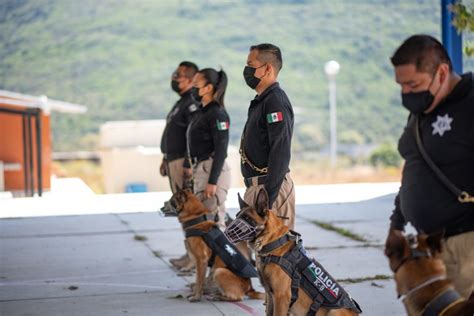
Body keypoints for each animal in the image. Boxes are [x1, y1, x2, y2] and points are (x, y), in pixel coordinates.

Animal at [224, 189, 362, 314]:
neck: (273, 243)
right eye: (237, 216)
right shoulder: (271, 296)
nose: (225, 232)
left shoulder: (281, 298)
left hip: (335, 311)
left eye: (247, 218)